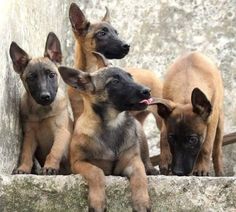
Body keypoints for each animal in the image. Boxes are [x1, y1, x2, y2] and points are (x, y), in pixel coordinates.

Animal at [9, 32, 73, 174]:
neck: (42, 111)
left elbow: (54, 151)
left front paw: (50, 167)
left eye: (51, 75)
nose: (45, 96)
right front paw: (23, 168)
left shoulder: (62, 132)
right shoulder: (29, 135)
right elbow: (26, 153)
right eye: (32, 78)